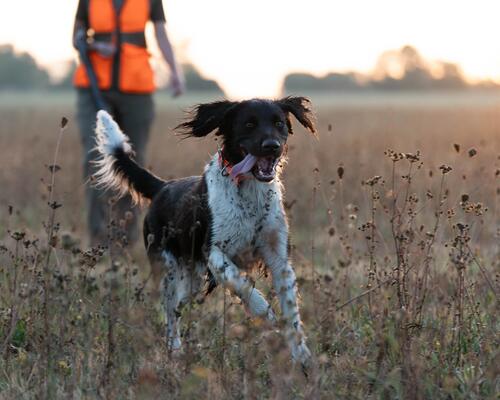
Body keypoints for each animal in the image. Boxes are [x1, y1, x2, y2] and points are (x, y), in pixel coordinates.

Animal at [93, 95, 316, 368]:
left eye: (279, 124)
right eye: (249, 124)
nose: (272, 146)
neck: (248, 193)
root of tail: (162, 187)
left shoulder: (278, 257)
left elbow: (291, 310)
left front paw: (302, 357)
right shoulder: (213, 252)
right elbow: (241, 283)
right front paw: (264, 312)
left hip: (193, 281)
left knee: (180, 305)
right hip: (168, 270)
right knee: (171, 313)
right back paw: (175, 352)